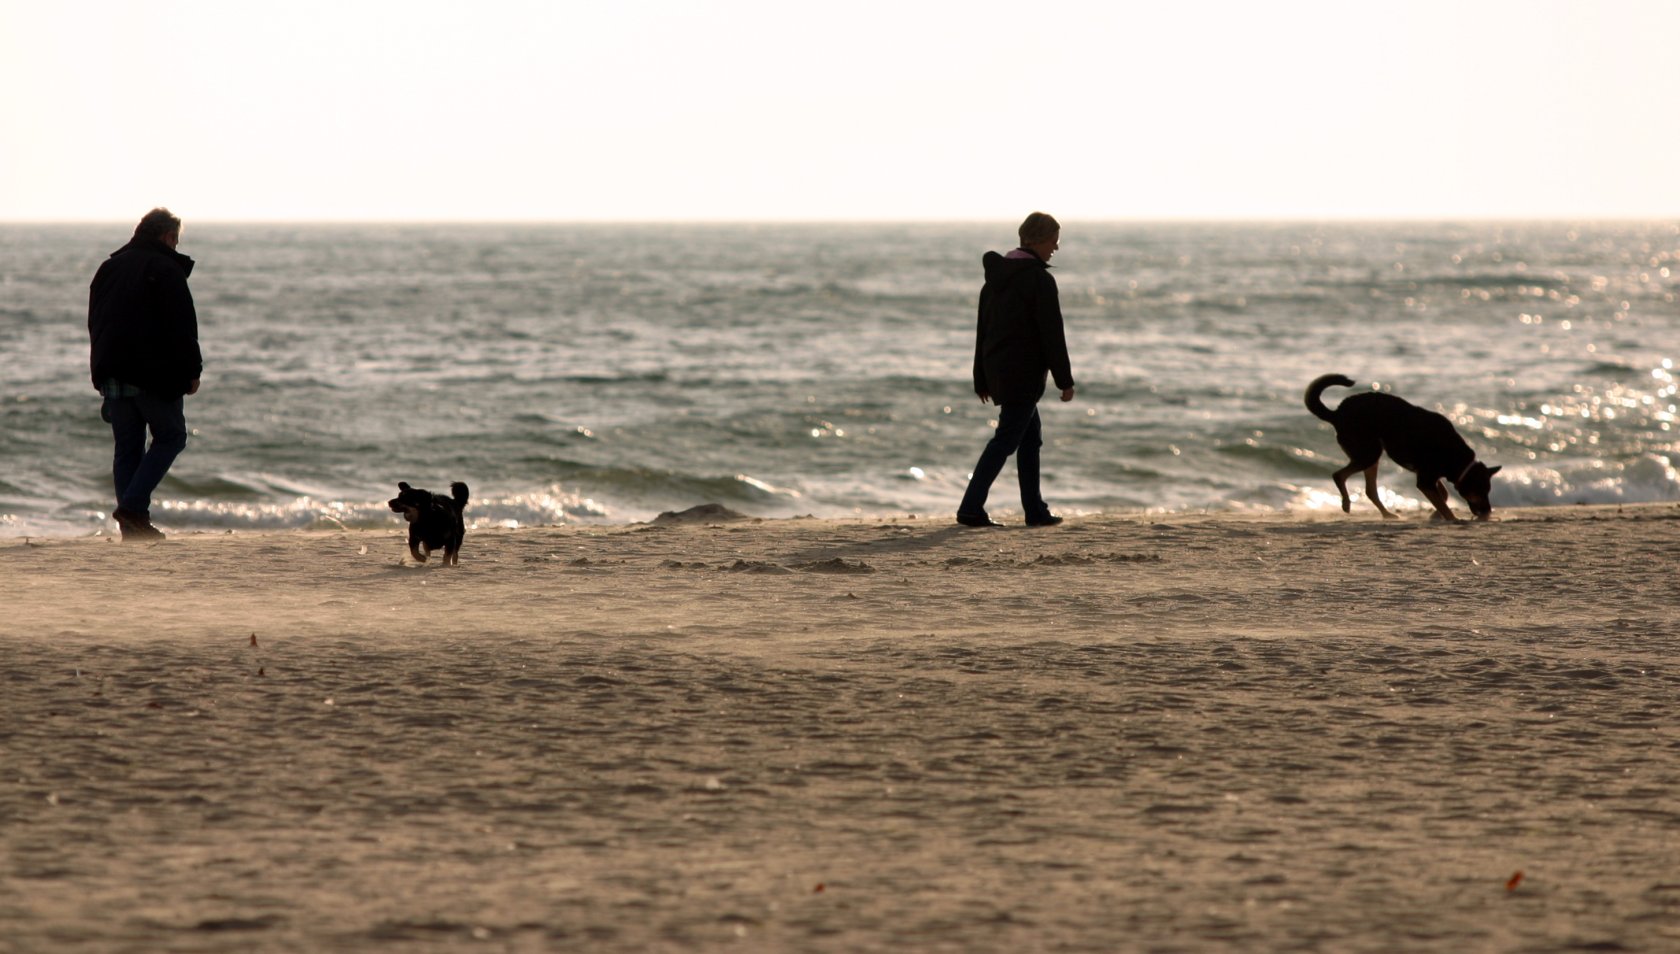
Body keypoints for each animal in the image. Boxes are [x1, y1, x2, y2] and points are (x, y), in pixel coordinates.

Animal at [1303, 372, 1505, 520]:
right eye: (1480, 491)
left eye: (1488, 491)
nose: (1488, 512)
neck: (1455, 457)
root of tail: (1337, 414)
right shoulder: (1425, 479)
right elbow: (1444, 503)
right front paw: (1452, 519)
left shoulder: (1427, 476)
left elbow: (1443, 495)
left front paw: (1435, 515)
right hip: (1369, 453)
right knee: (1339, 475)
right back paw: (1346, 503)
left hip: (1371, 455)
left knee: (1370, 490)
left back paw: (1387, 514)